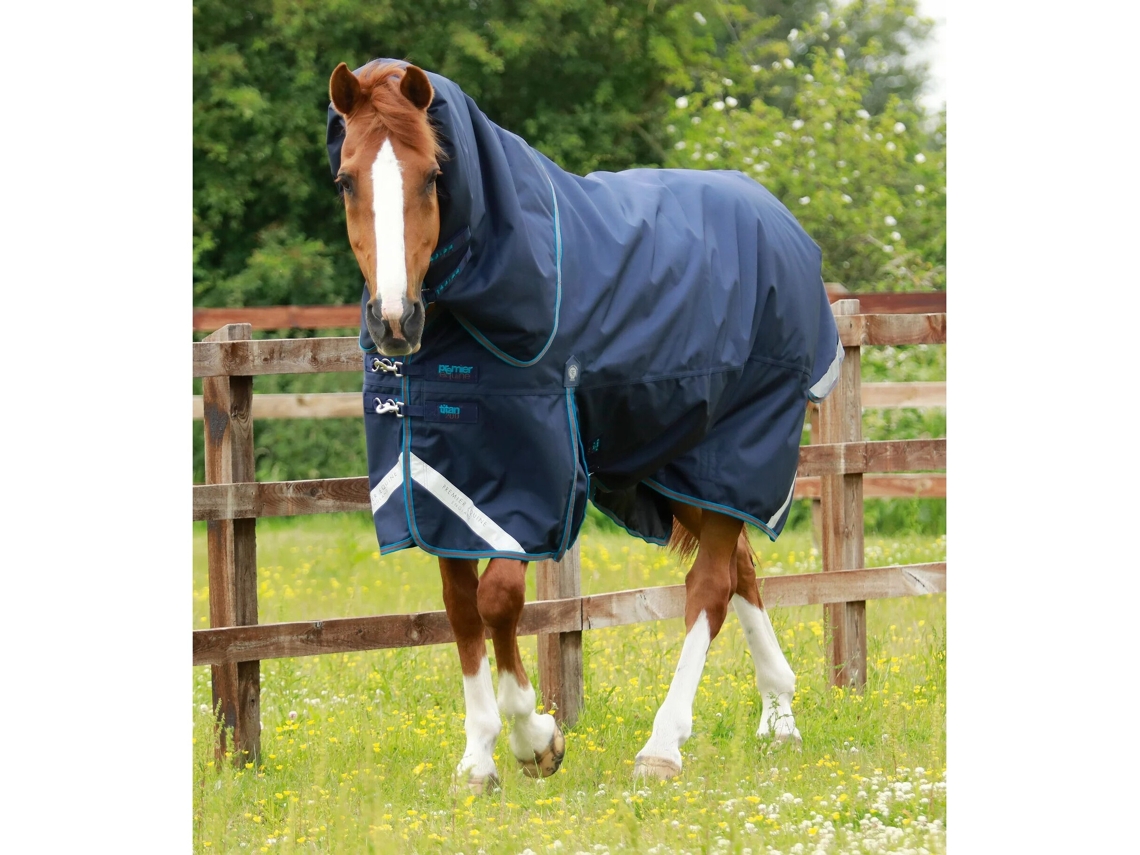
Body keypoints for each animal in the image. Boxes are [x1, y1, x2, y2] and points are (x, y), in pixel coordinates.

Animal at [326, 59, 842, 793]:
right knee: (740, 568)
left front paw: (536, 738)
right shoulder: (446, 482)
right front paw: (477, 760)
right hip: (676, 462)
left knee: (709, 586)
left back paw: (663, 745)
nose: (395, 319)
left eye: (431, 175)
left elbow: (499, 600)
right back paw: (781, 717)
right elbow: (460, 607)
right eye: (346, 179)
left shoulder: (527, 483)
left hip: (735, 449)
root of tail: (781, 222)